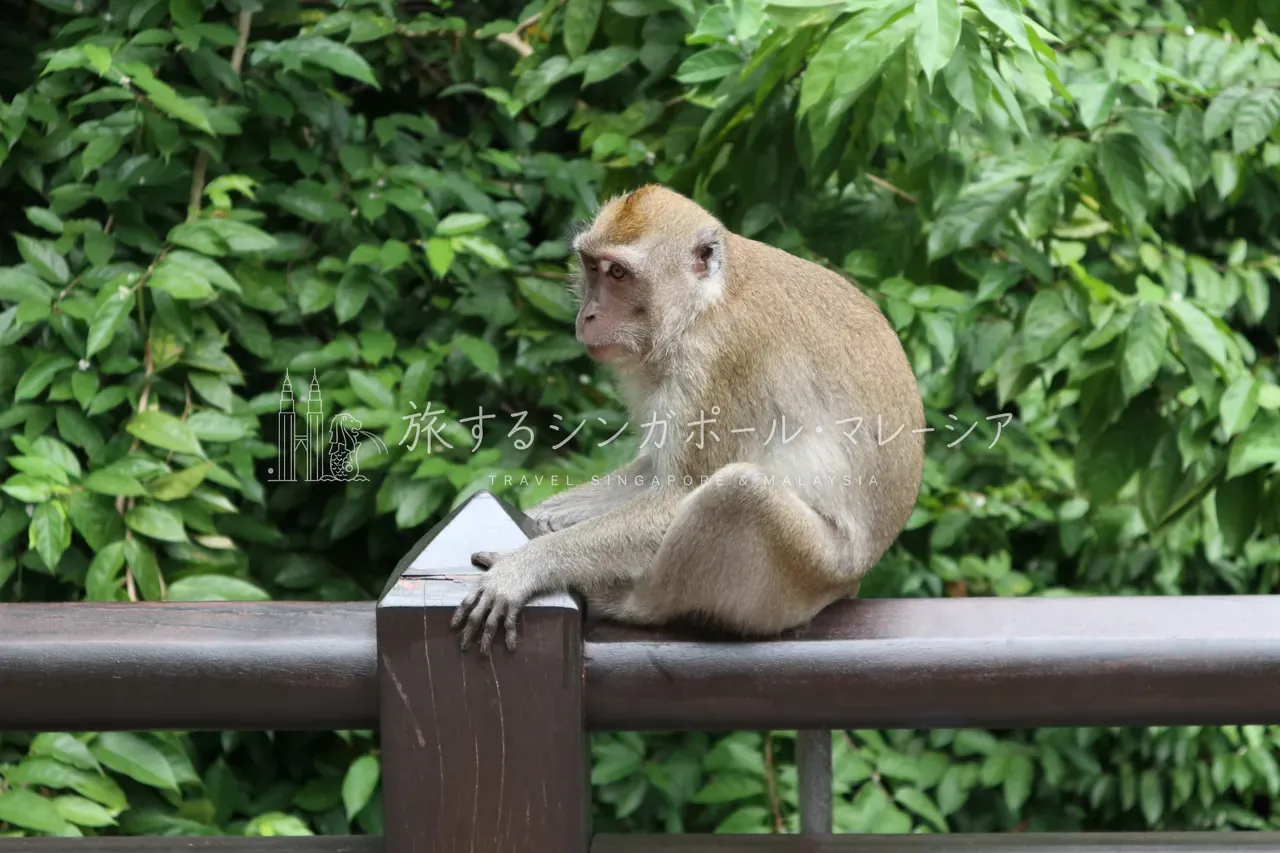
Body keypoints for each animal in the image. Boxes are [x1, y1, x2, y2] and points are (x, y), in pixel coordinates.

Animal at [452, 185, 925, 653]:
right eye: (591, 267)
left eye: (618, 273)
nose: (587, 315)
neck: (704, 305)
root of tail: (852, 580)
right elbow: (655, 468)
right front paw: (546, 516)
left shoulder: (721, 358)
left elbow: (676, 495)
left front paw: (525, 566)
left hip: (806, 575)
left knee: (739, 492)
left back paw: (632, 603)